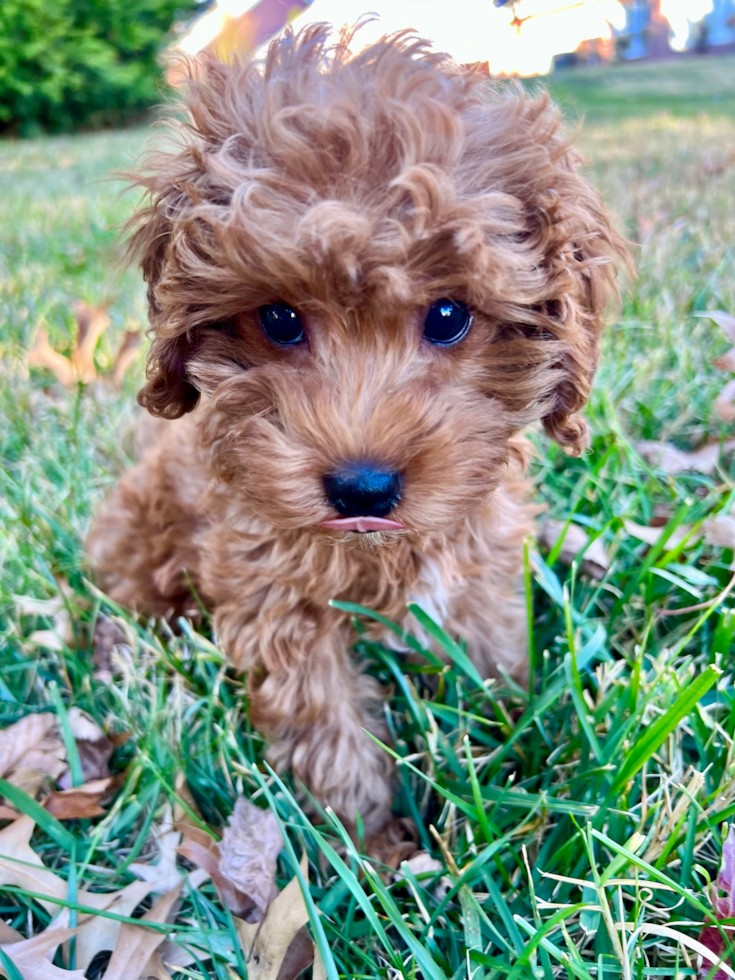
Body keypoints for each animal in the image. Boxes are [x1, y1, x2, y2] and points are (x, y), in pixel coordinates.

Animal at [87, 26, 628, 848]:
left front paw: (515, 741)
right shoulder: (272, 590)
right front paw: (369, 842)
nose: (361, 487)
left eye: (449, 316)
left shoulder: (479, 561)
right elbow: (323, 721)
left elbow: (491, 647)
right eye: (279, 319)